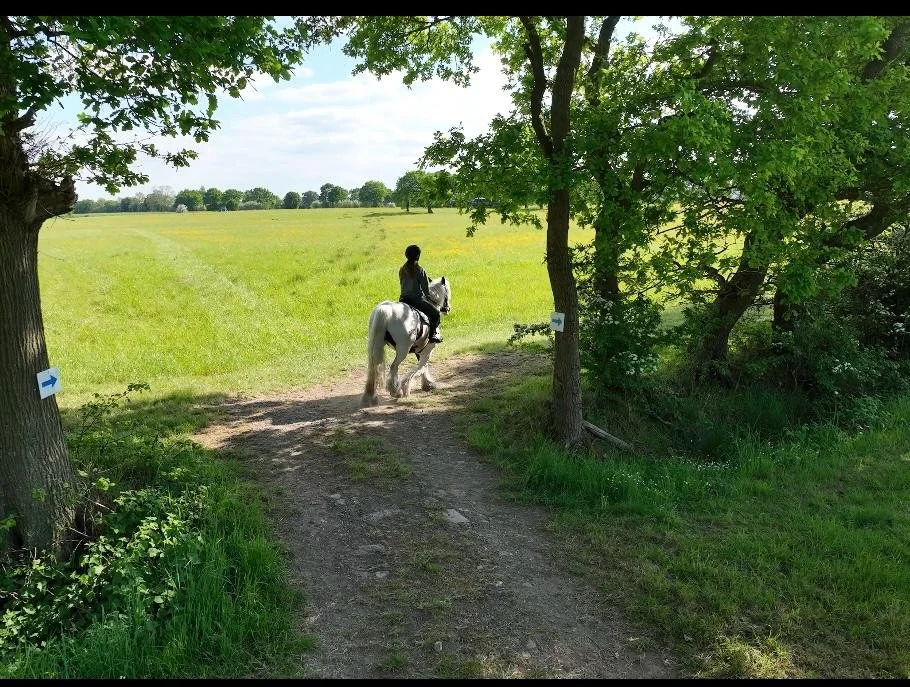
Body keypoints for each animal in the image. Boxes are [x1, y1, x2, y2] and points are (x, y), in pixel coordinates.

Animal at [360, 276, 451, 407]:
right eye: (447, 293)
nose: (448, 309)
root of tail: (385, 310)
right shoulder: (428, 349)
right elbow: (421, 367)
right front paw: (407, 386)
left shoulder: (420, 350)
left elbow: (423, 367)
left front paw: (427, 384)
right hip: (403, 349)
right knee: (394, 366)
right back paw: (395, 391)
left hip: (375, 346)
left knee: (374, 369)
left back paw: (370, 397)